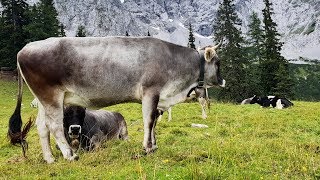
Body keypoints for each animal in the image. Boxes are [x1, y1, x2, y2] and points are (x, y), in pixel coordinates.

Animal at [9, 36, 225, 163]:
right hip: (51, 96)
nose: (222, 80)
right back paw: (70, 155)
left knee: (41, 126)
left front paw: (154, 145)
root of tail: (25, 48)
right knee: (54, 126)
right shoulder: (150, 92)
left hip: (44, 100)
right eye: (218, 62)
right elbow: (149, 121)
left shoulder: (158, 98)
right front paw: (147, 148)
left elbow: (154, 122)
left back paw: (50, 158)